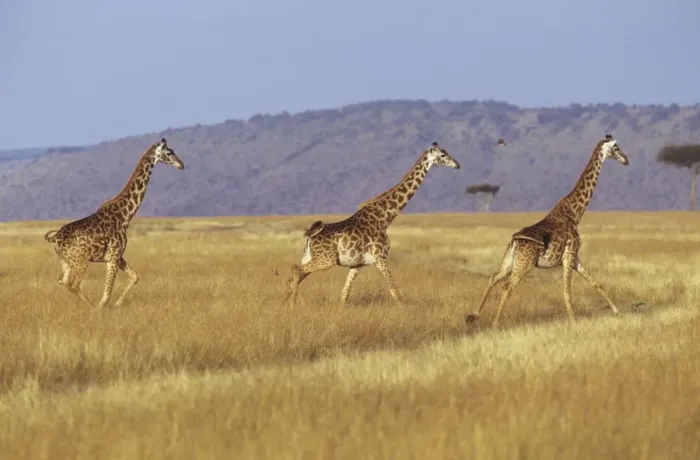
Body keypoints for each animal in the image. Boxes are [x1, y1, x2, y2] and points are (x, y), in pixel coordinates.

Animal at [44, 138, 185, 308]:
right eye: (169, 152)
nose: (181, 165)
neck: (125, 216)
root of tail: (55, 238)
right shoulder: (113, 256)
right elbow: (107, 293)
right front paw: (101, 307)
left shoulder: (118, 256)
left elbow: (135, 277)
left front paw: (118, 303)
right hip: (81, 261)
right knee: (74, 284)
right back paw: (91, 306)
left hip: (65, 261)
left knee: (63, 281)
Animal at [284, 142, 461, 306]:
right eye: (443, 155)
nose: (458, 165)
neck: (384, 218)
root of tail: (309, 236)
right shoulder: (380, 257)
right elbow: (395, 292)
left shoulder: (357, 264)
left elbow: (344, 295)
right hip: (326, 260)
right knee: (296, 270)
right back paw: (293, 304)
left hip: (310, 257)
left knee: (292, 278)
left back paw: (285, 304)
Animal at [465, 134, 629, 327]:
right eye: (616, 148)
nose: (626, 160)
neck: (575, 213)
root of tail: (515, 241)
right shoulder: (569, 255)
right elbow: (567, 292)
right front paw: (574, 322)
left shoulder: (574, 257)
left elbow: (596, 283)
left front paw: (617, 311)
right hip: (525, 263)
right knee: (507, 286)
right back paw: (495, 324)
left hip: (510, 261)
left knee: (494, 277)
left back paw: (474, 315)